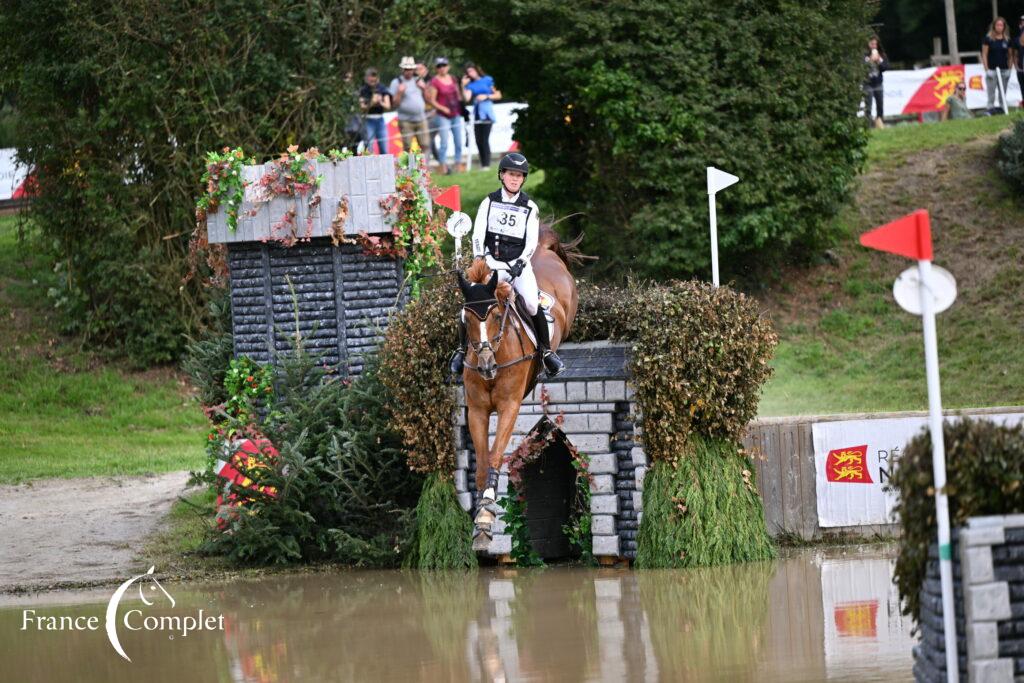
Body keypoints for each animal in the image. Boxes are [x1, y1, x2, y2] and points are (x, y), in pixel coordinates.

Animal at [456, 227, 577, 548]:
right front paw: (481, 522)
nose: (485, 365)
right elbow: (482, 462)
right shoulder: (477, 411)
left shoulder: (509, 406)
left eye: (497, 316)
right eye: (466, 319)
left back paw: (552, 359)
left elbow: (496, 454)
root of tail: (544, 251)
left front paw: (486, 514)